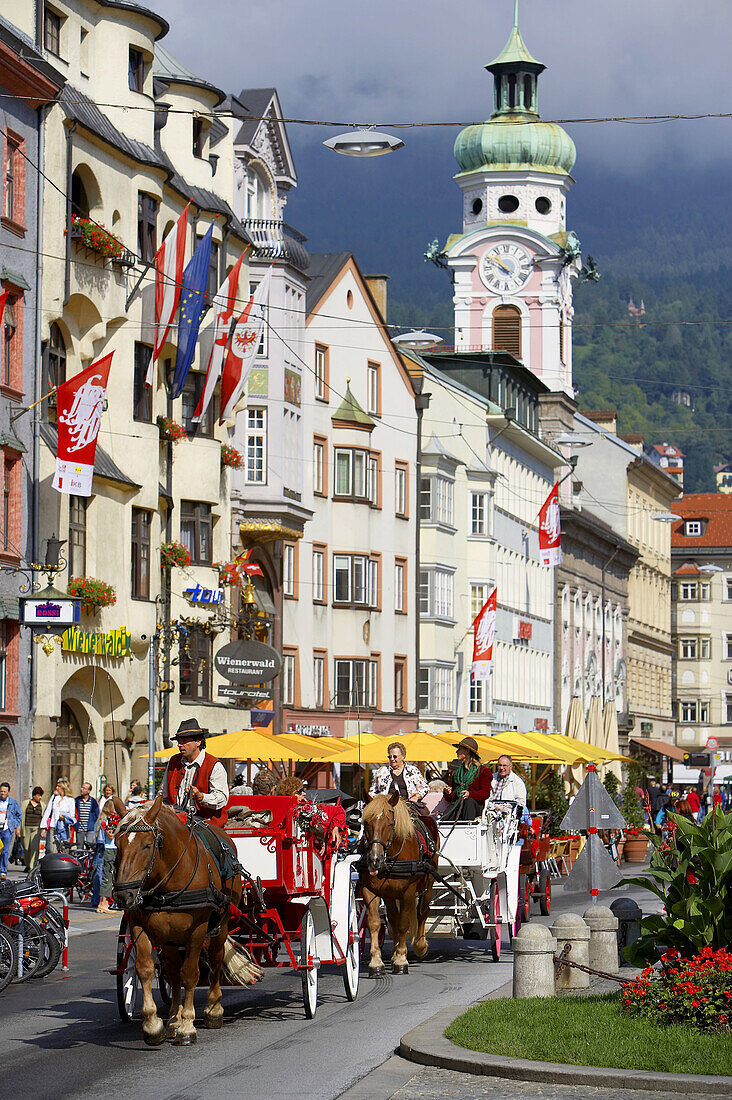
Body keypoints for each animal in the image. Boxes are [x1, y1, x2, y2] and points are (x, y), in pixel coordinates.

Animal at [112, 796, 260, 1042]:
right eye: (117, 843)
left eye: (147, 845)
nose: (124, 895)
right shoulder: (139, 926)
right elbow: (145, 969)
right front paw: (154, 1024)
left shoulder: (198, 930)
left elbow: (190, 974)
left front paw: (188, 1025)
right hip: (171, 937)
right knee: (173, 972)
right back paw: (173, 1018)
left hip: (221, 923)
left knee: (216, 959)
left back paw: (213, 1010)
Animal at [358, 796, 433, 976]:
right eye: (366, 823)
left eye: (390, 823)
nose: (374, 859)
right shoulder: (369, 890)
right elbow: (375, 922)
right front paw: (376, 962)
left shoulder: (408, 892)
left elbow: (404, 923)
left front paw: (401, 960)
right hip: (389, 894)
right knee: (393, 917)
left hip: (428, 884)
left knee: (422, 912)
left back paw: (420, 945)